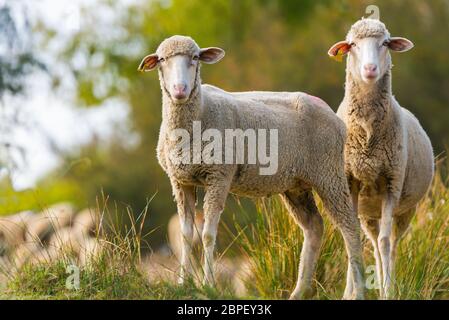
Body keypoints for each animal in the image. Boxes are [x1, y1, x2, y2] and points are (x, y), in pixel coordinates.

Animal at [139, 35, 364, 300]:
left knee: (350, 228)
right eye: (162, 60)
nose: (180, 90)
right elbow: (185, 236)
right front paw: (183, 284)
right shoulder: (180, 180)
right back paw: (298, 292)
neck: (199, 114)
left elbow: (207, 234)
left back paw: (356, 292)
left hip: (329, 173)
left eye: (195, 58)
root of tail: (333, 114)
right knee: (314, 228)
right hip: (296, 185)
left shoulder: (219, 175)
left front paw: (208, 285)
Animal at [326, 18, 434, 298]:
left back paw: (389, 283)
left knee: (390, 245)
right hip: (368, 214)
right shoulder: (349, 181)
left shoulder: (391, 183)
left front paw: (387, 291)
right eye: (352, 44)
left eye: (385, 43)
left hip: (406, 209)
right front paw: (353, 293)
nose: (370, 68)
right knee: (372, 244)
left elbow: (386, 243)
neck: (367, 135)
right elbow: (351, 239)